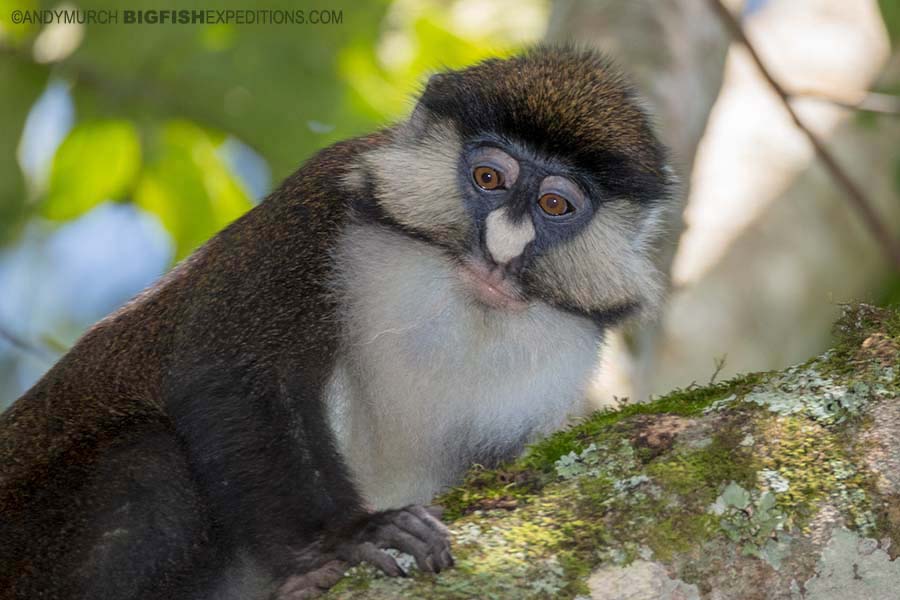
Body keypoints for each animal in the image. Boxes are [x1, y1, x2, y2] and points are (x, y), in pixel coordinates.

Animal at [0, 44, 676, 596]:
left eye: (555, 204)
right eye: (489, 177)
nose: (502, 248)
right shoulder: (315, 208)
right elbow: (236, 375)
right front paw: (348, 536)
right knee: (150, 472)